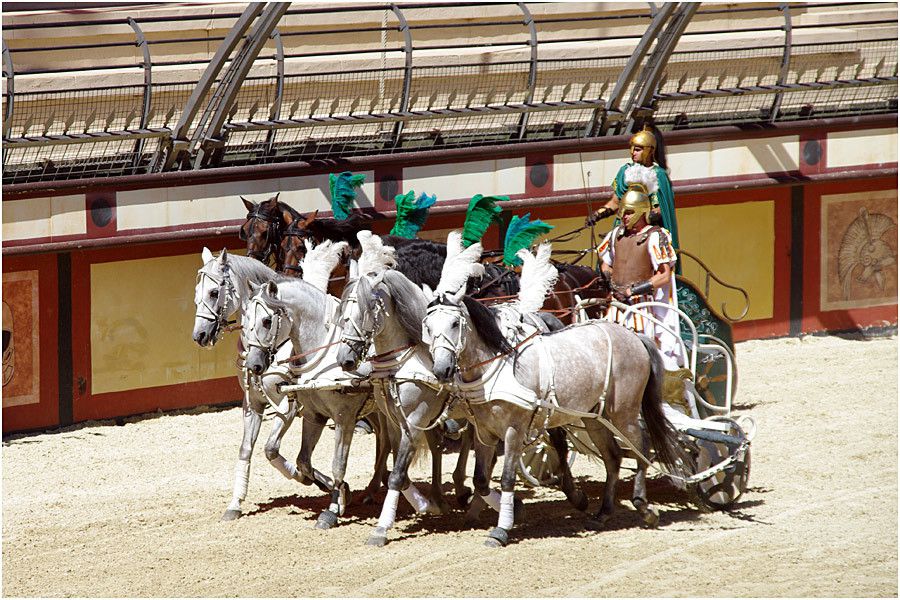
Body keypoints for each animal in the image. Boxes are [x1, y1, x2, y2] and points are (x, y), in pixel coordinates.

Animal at [422, 234, 688, 548]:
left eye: (454, 323)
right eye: (427, 326)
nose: (441, 369)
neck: (497, 366)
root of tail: (634, 336)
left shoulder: (514, 429)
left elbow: (508, 478)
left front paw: (502, 529)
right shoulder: (485, 432)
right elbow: (481, 480)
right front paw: (505, 510)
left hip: (623, 412)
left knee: (641, 447)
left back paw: (643, 506)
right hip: (594, 417)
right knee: (613, 457)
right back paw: (603, 512)